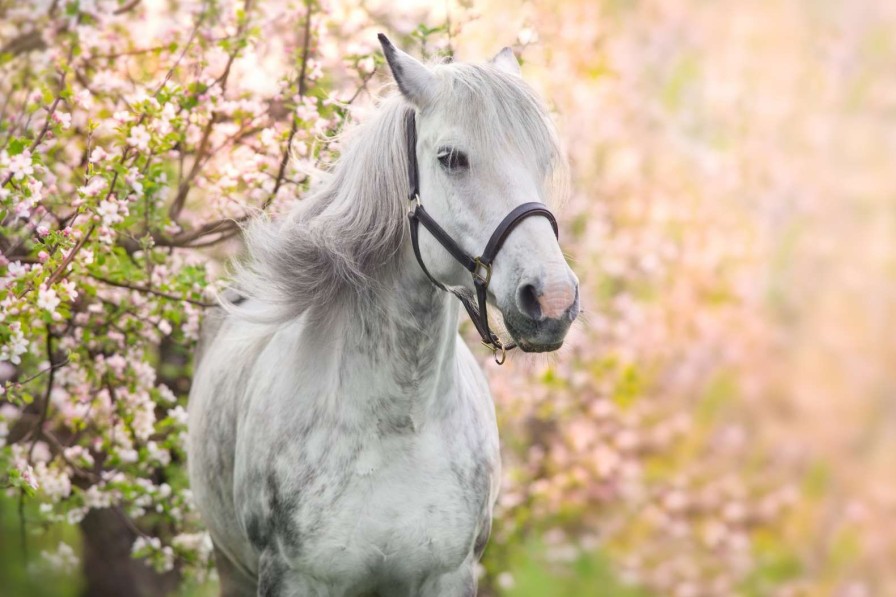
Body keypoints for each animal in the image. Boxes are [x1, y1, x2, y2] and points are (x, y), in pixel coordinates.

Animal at [189, 35, 580, 592]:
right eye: (451, 158)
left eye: (542, 159)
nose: (552, 301)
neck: (400, 425)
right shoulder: (292, 577)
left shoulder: (449, 576)